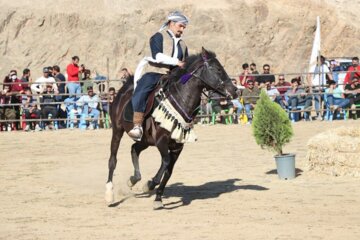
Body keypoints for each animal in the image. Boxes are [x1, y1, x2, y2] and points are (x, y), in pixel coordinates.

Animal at [105, 47, 238, 209]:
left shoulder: (177, 146)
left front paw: (157, 197)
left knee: (134, 149)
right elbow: (166, 163)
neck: (179, 100)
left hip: (145, 140)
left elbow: (169, 170)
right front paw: (150, 185)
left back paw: (133, 180)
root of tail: (124, 89)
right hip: (117, 131)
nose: (235, 90)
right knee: (113, 160)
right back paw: (109, 195)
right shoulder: (161, 141)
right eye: (217, 69)